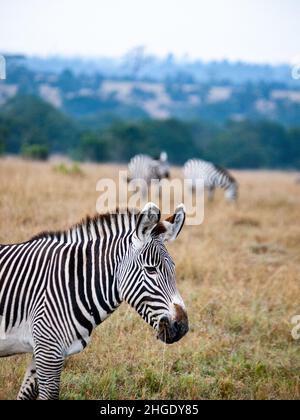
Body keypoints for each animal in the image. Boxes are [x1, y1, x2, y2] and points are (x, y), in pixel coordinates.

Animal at [0, 203, 188, 400]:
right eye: (151, 270)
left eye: (173, 268)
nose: (182, 327)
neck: (71, 284)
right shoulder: (48, 350)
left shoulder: (43, 351)